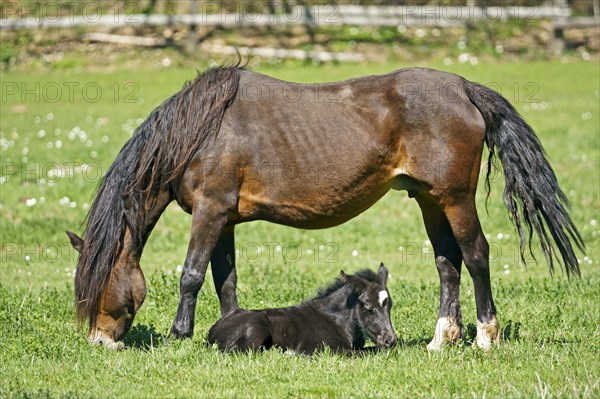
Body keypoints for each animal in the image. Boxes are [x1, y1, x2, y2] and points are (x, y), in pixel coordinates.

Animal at [209, 264, 396, 354]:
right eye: (368, 307)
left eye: (390, 305)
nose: (390, 340)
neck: (338, 322)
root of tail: (212, 332)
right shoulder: (323, 349)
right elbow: (365, 353)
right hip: (255, 328)